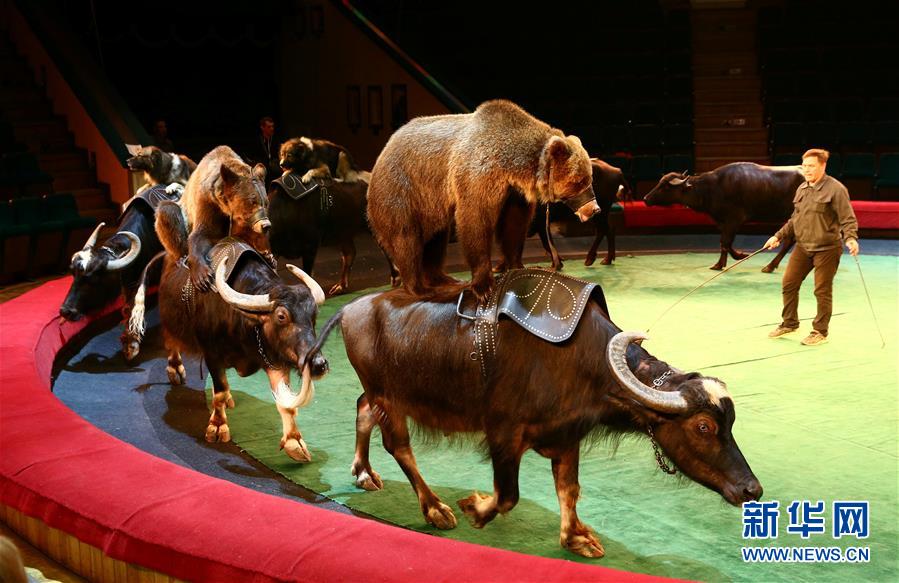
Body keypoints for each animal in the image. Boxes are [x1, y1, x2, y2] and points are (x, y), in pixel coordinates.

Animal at [58, 185, 178, 360]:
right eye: (74, 274)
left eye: (93, 279)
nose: (66, 311)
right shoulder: (130, 282)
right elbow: (129, 308)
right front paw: (129, 342)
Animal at [128, 202, 329, 462]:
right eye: (281, 316)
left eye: (313, 315)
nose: (318, 364)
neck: (245, 323)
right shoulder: (212, 355)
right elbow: (220, 391)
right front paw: (217, 426)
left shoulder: (274, 359)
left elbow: (285, 403)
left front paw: (295, 442)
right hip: (169, 322)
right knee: (172, 343)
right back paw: (175, 370)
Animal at [308, 280, 762, 558]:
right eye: (703, 427)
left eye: (731, 423)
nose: (752, 489)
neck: (582, 363)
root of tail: (351, 307)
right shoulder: (503, 434)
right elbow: (508, 494)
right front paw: (475, 509)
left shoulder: (566, 436)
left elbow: (569, 489)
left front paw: (576, 537)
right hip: (391, 396)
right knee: (398, 444)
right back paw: (436, 509)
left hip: (381, 395)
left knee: (362, 410)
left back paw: (363, 473)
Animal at [644, 162, 803, 271]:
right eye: (659, 183)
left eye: (665, 186)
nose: (645, 198)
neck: (712, 187)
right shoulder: (722, 221)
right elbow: (725, 242)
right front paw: (740, 255)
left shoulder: (734, 219)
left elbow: (725, 241)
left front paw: (719, 264)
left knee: (789, 240)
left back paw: (770, 266)